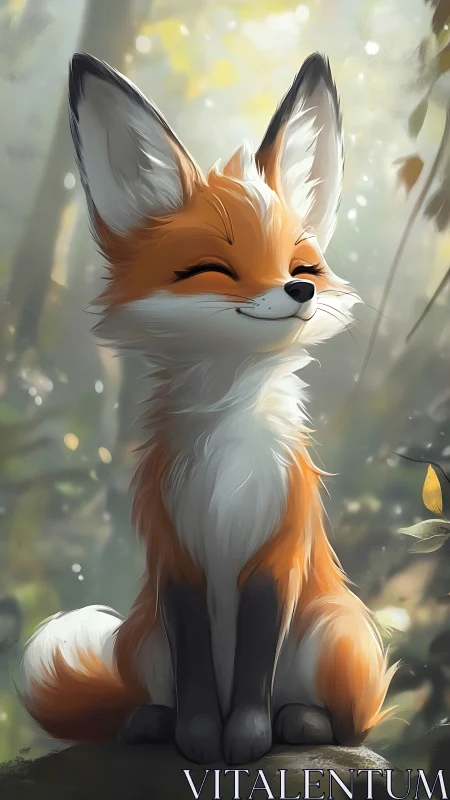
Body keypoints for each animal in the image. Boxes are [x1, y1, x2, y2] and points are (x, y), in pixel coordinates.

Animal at [21, 52, 396, 766]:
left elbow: (254, 660)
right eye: (212, 269)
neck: (230, 459)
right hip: (140, 640)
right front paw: (198, 738)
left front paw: (245, 738)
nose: (300, 289)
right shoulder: (175, 554)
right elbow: (195, 655)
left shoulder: (278, 549)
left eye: (303, 264)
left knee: (345, 722)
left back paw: (301, 723)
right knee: (158, 690)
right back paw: (150, 724)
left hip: (335, 634)